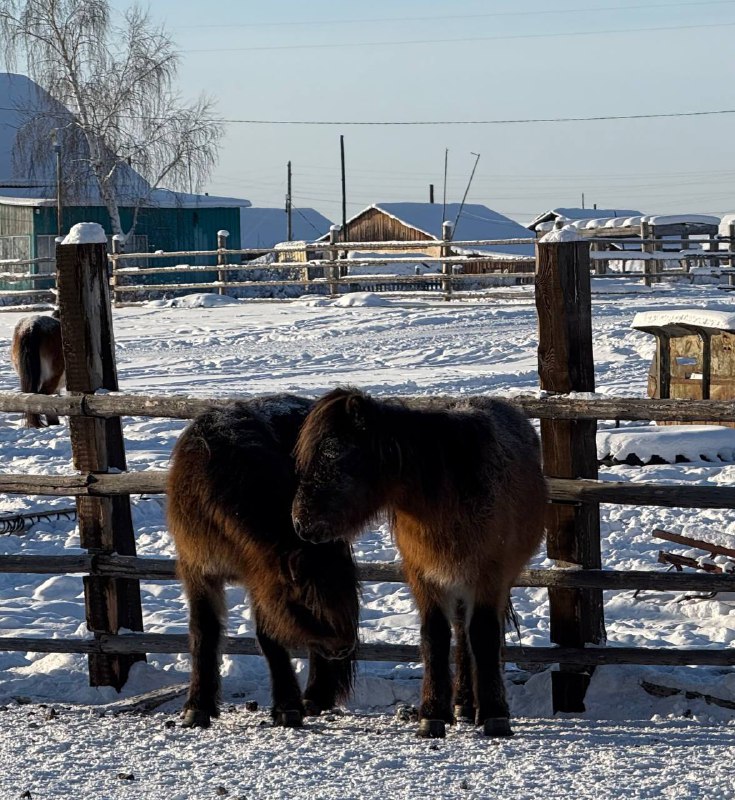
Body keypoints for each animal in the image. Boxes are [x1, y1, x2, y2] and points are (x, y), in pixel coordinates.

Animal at [167, 396, 362, 732]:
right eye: (306, 602)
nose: (344, 647)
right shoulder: (199, 572)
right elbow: (203, 633)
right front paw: (198, 707)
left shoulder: (260, 578)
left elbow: (269, 637)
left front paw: (287, 707)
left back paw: (314, 696)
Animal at [292, 386, 548, 736]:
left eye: (336, 454)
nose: (300, 522)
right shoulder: (424, 576)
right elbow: (435, 636)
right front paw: (433, 713)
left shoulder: (489, 576)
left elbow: (484, 634)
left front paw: (495, 714)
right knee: (460, 633)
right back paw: (464, 703)